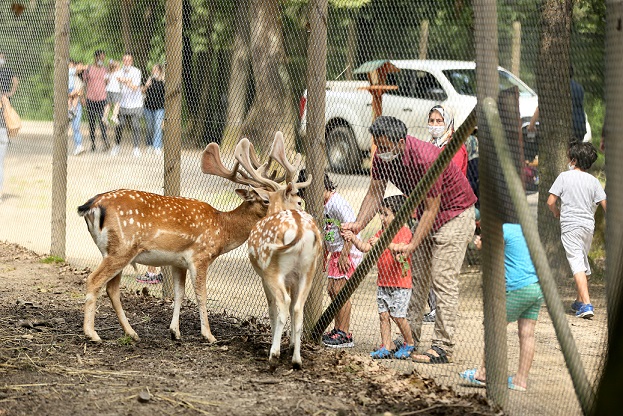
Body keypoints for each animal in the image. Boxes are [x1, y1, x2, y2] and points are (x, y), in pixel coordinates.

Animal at [77, 134, 302, 344]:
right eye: (266, 200)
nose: (293, 210)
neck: (223, 229)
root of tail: (91, 206)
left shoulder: (178, 261)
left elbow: (180, 294)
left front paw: (175, 332)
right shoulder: (200, 256)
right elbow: (201, 295)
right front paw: (209, 335)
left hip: (113, 250)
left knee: (112, 289)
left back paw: (132, 333)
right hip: (122, 248)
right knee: (94, 280)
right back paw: (92, 334)